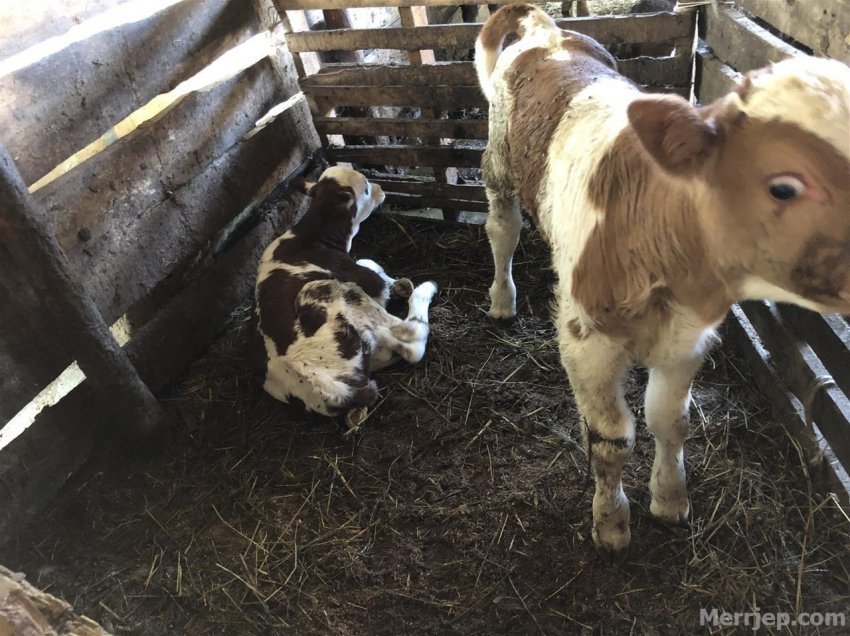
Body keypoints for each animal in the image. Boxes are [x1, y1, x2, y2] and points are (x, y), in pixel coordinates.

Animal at [248, 166, 438, 430]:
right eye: (366, 188)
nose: (381, 188)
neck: (311, 236)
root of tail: (322, 386)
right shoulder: (361, 278)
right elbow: (374, 272)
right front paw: (399, 285)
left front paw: (400, 284)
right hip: (331, 291)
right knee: (411, 339)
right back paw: (425, 290)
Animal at [474, 3, 848, 552]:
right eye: (784, 185)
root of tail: (547, 31)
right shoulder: (586, 342)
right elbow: (611, 440)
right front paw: (611, 523)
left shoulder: (688, 337)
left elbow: (671, 422)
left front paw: (670, 500)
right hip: (499, 157)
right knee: (503, 228)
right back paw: (502, 299)